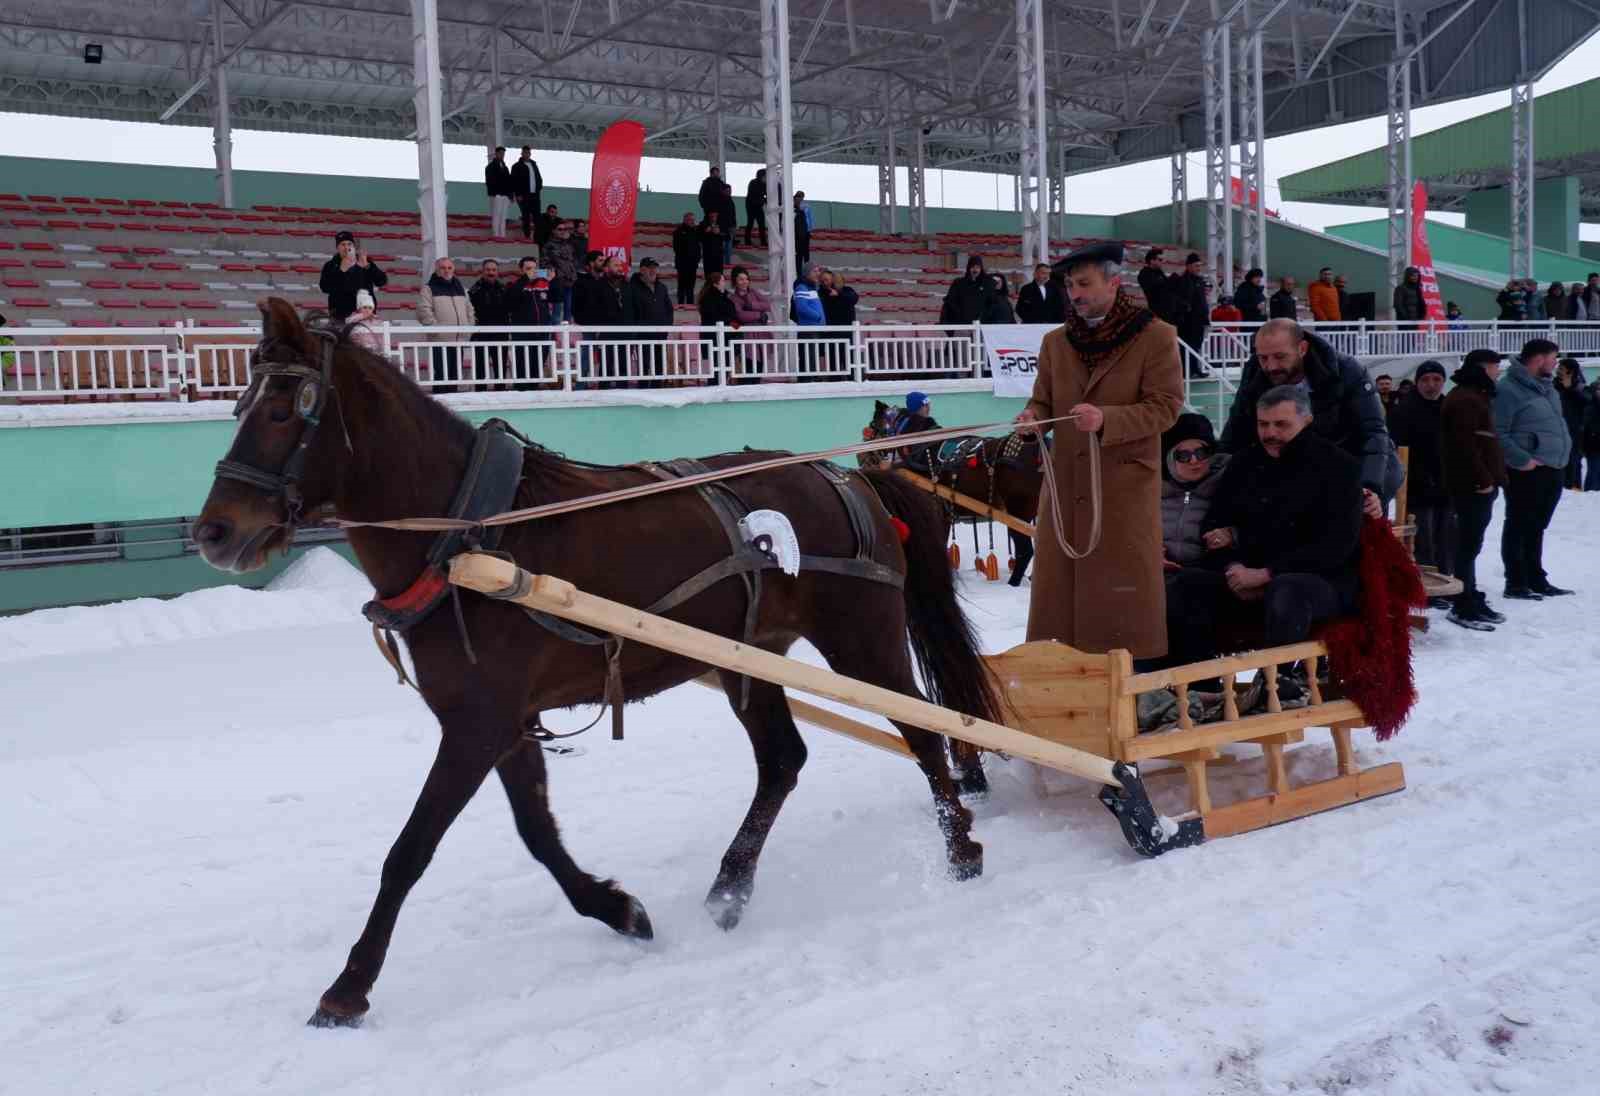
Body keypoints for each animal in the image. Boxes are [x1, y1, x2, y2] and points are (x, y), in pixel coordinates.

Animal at [196, 299, 998, 1024]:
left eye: (282, 412)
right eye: (239, 403)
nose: (213, 532)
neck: (474, 535)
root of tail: (847, 478)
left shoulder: (476, 725)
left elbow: (410, 850)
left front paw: (349, 985)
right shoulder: (503, 722)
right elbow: (538, 834)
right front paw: (618, 908)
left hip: (862, 638)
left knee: (925, 732)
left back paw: (960, 845)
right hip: (753, 656)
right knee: (782, 759)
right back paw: (732, 886)